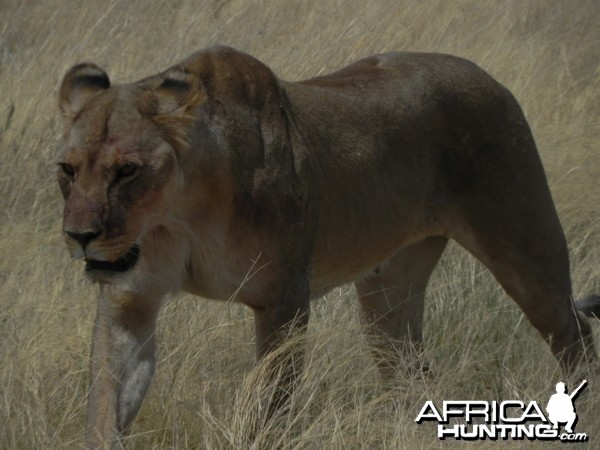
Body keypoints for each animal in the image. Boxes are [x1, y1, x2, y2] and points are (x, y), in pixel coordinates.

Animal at [57, 45, 600, 446]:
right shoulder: (129, 302)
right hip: (388, 296)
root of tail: (484, 74)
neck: (179, 214)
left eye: (127, 170)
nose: (79, 237)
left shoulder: (284, 300)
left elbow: (268, 406)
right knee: (413, 372)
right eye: (67, 170)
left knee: (576, 338)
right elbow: (106, 402)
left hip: (528, 255)